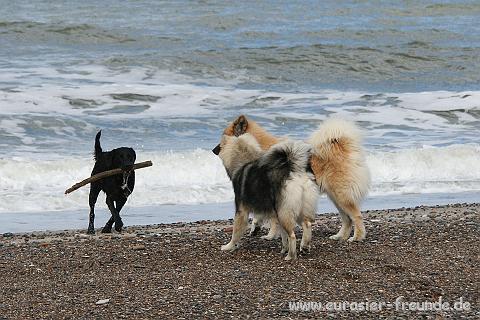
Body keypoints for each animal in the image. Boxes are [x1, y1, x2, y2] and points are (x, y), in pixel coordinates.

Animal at [215, 132, 318, 260]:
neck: (243, 160)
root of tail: (295, 169)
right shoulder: (272, 210)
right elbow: (282, 234)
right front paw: (283, 247)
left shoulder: (241, 210)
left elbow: (236, 231)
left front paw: (229, 246)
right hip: (297, 208)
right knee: (307, 225)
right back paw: (304, 247)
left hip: (285, 212)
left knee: (292, 235)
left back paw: (290, 256)